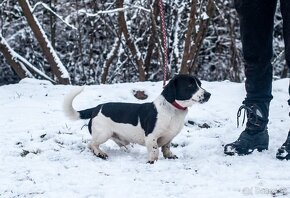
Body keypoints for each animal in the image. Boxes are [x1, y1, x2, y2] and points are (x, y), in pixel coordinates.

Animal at [63, 75, 210, 163]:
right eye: (190, 85)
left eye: (200, 84)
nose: (208, 94)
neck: (172, 110)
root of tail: (96, 107)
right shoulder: (151, 137)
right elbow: (155, 150)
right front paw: (152, 161)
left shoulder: (169, 137)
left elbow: (166, 148)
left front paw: (169, 156)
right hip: (103, 134)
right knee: (91, 144)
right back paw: (100, 153)